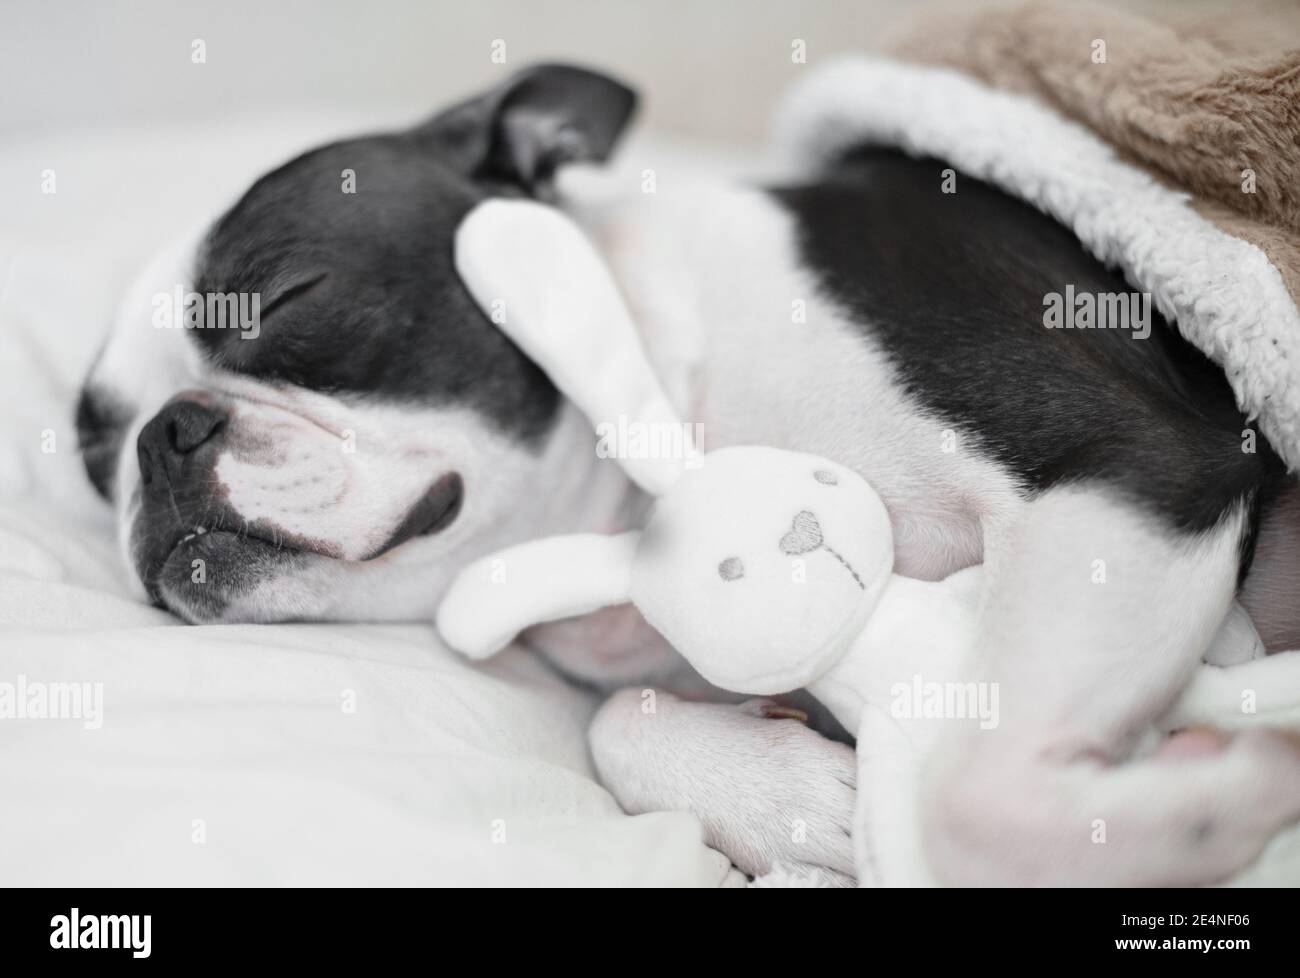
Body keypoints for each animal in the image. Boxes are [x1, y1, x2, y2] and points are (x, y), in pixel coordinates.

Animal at [78, 65, 1300, 884]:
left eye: (288, 296)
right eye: (94, 455)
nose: (160, 439)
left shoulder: (1137, 462)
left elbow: (972, 798)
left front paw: (1243, 789)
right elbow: (611, 725)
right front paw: (791, 797)